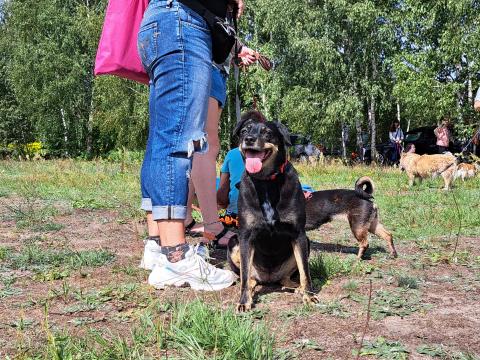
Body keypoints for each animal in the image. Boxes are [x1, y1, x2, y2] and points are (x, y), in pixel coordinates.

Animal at [227, 111, 316, 310]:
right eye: (244, 131)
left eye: (267, 132)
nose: (249, 139)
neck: (266, 181)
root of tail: (268, 279)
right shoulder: (245, 236)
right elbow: (244, 275)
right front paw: (244, 302)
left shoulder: (299, 234)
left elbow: (305, 271)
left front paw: (309, 295)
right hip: (233, 242)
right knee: (248, 277)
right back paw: (252, 286)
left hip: (305, 244)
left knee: (288, 278)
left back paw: (297, 288)